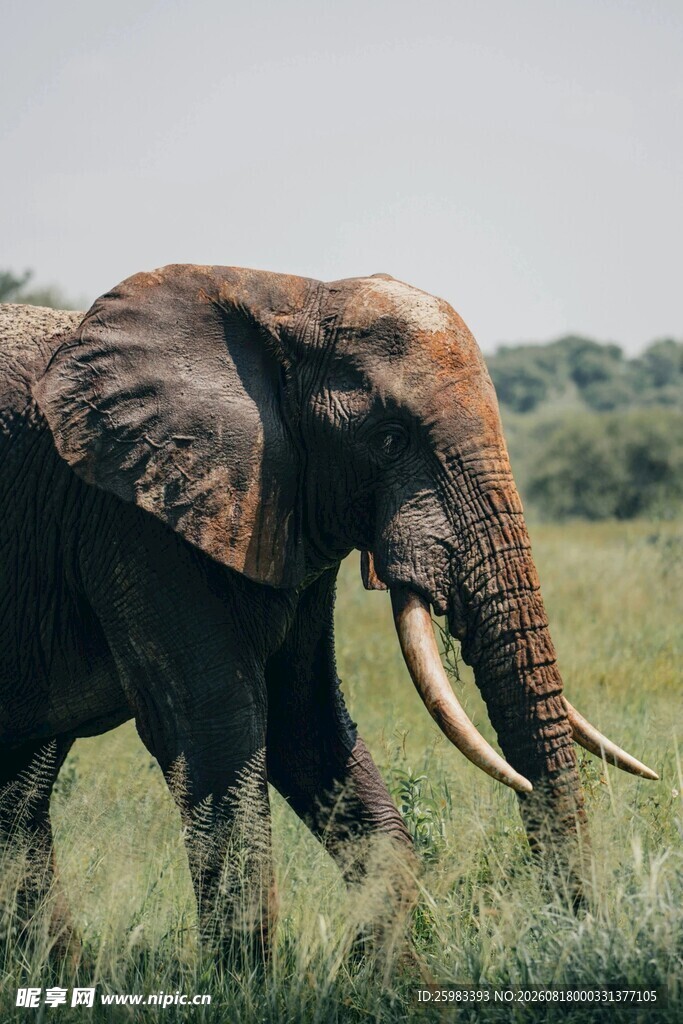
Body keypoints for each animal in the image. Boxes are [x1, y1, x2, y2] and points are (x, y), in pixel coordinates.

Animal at [0, 266, 657, 958]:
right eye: (389, 440)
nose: (571, 930)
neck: (287, 296)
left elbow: (307, 723)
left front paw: (380, 977)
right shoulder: (137, 521)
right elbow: (215, 731)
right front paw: (247, 983)